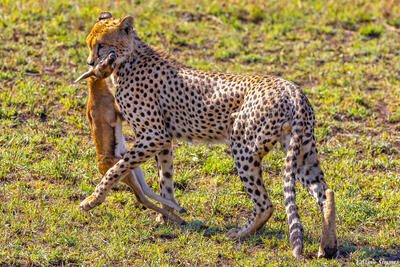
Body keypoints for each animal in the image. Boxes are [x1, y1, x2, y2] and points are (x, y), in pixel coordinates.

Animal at [76, 52, 185, 224]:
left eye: (102, 59)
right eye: (101, 63)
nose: (112, 55)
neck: (95, 92)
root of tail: (101, 167)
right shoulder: (116, 117)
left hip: (134, 168)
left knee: (146, 190)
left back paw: (178, 210)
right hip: (129, 173)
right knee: (141, 197)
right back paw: (177, 217)